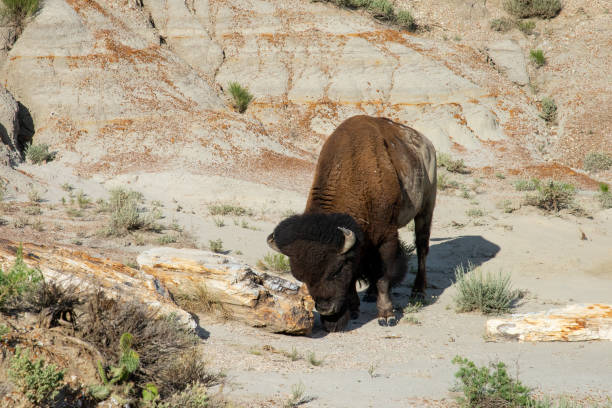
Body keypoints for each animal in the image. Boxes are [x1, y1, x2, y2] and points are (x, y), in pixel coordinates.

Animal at [266, 115, 436, 332]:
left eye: (336, 270)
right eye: (299, 276)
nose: (326, 309)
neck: (355, 175)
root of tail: (427, 144)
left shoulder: (386, 237)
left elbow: (383, 277)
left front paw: (386, 316)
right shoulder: (360, 245)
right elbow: (357, 274)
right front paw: (355, 308)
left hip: (426, 207)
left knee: (422, 247)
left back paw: (418, 291)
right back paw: (370, 294)